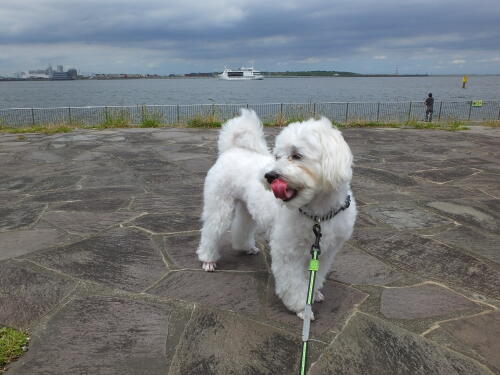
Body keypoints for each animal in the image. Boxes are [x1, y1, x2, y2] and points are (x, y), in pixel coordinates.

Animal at [195, 108, 356, 320]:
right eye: (278, 156)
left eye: (297, 155)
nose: (269, 176)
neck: (317, 214)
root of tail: (232, 149)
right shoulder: (287, 251)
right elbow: (292, 282)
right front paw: (301, 307)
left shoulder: (324, 252)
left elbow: (315, 276)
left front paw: (313, 293)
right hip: (220, 205)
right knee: (211, 230)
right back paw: (208, 260)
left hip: (247, 207)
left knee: (242, 226)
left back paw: (245, 247)